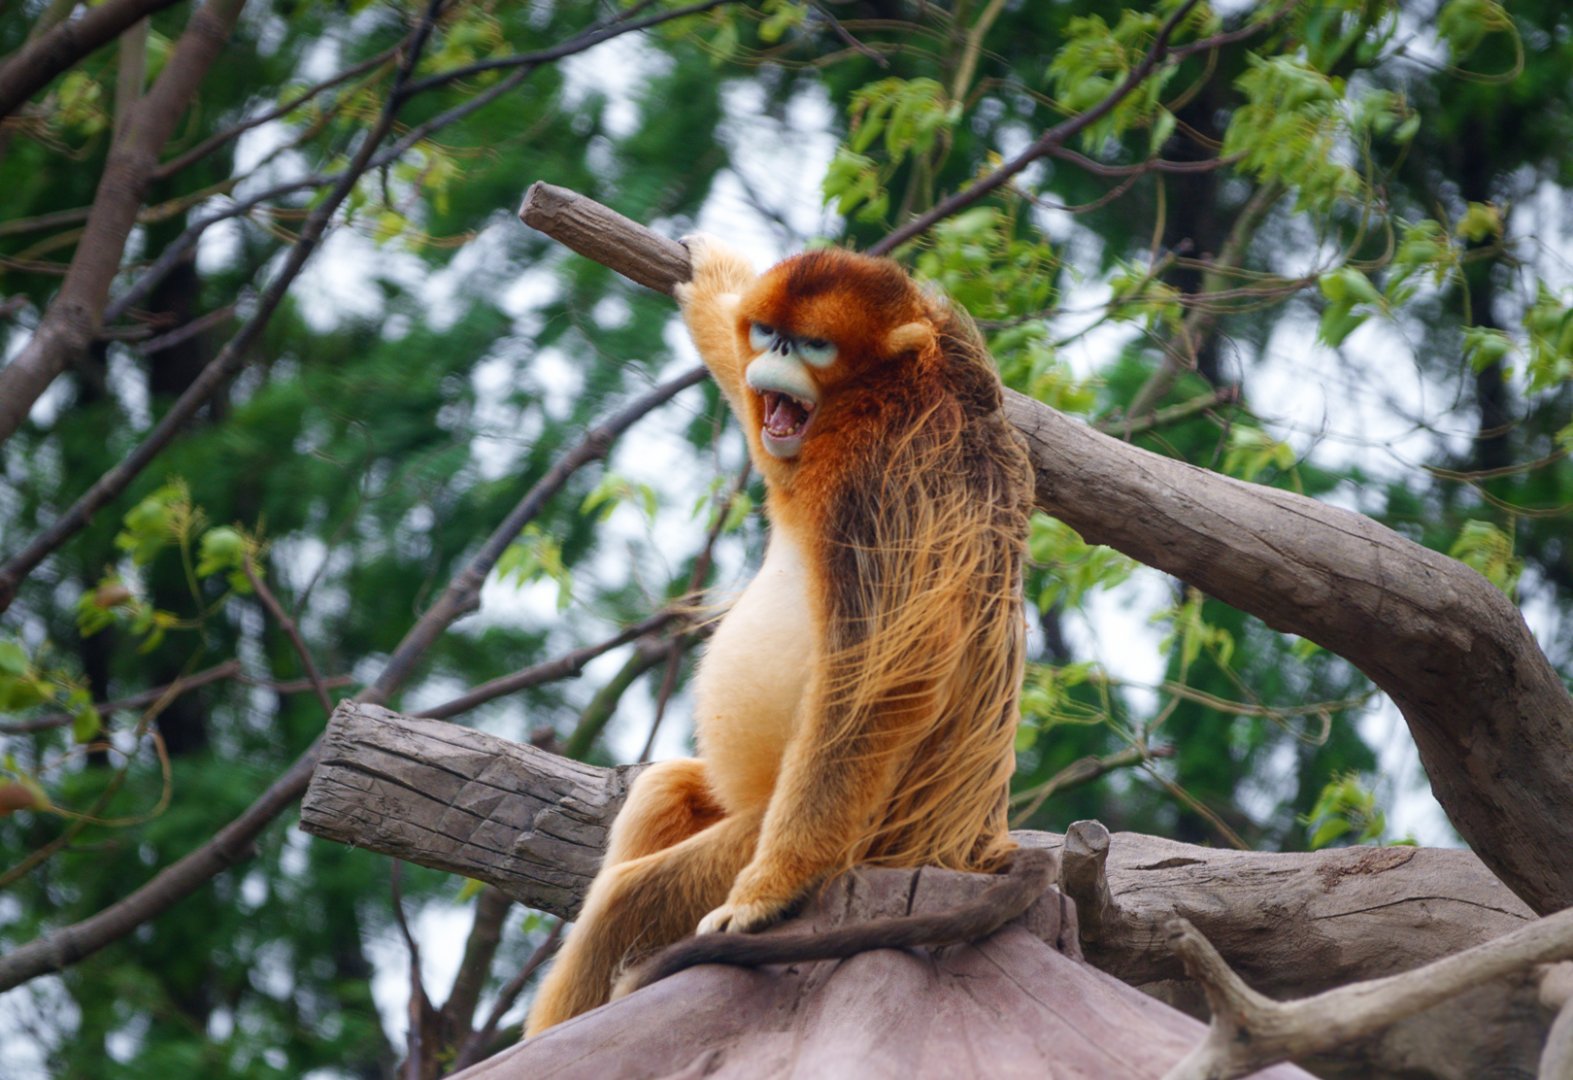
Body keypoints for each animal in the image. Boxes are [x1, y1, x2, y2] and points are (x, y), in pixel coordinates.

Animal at [524, 236, 1034, 1035]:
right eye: (769, 334)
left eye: (814, 345)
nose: (779, 355)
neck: (884, 391)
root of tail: (966, 846)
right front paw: (713, 281)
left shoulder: (882, 475)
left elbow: (881, 682)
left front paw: (763, 895)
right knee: (664, 791)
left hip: (854, 842)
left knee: (626, 902)